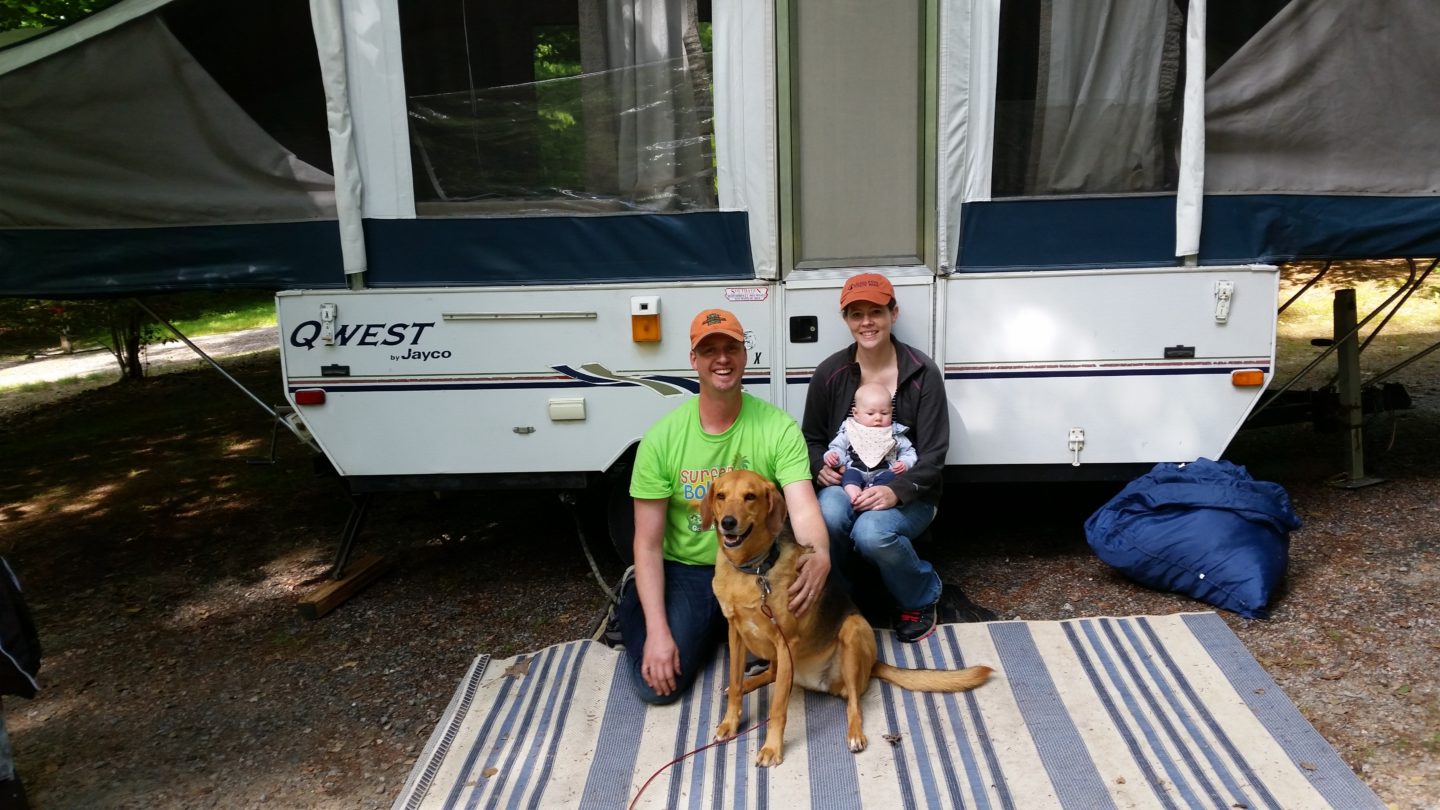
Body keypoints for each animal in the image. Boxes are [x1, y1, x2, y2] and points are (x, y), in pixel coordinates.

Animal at [696, 466, 990, 760]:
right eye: (721, 496)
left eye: (750, 497)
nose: (728, 522)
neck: (753, 570)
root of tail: (873, 663)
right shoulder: (736, 632)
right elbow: (735, 683)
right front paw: (730, 721)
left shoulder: (784, 641)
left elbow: (778, 706)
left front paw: (772, 748)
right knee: (771, 675)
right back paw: (751, 683)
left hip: (852, 630)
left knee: (853, 703)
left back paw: (855, 734)